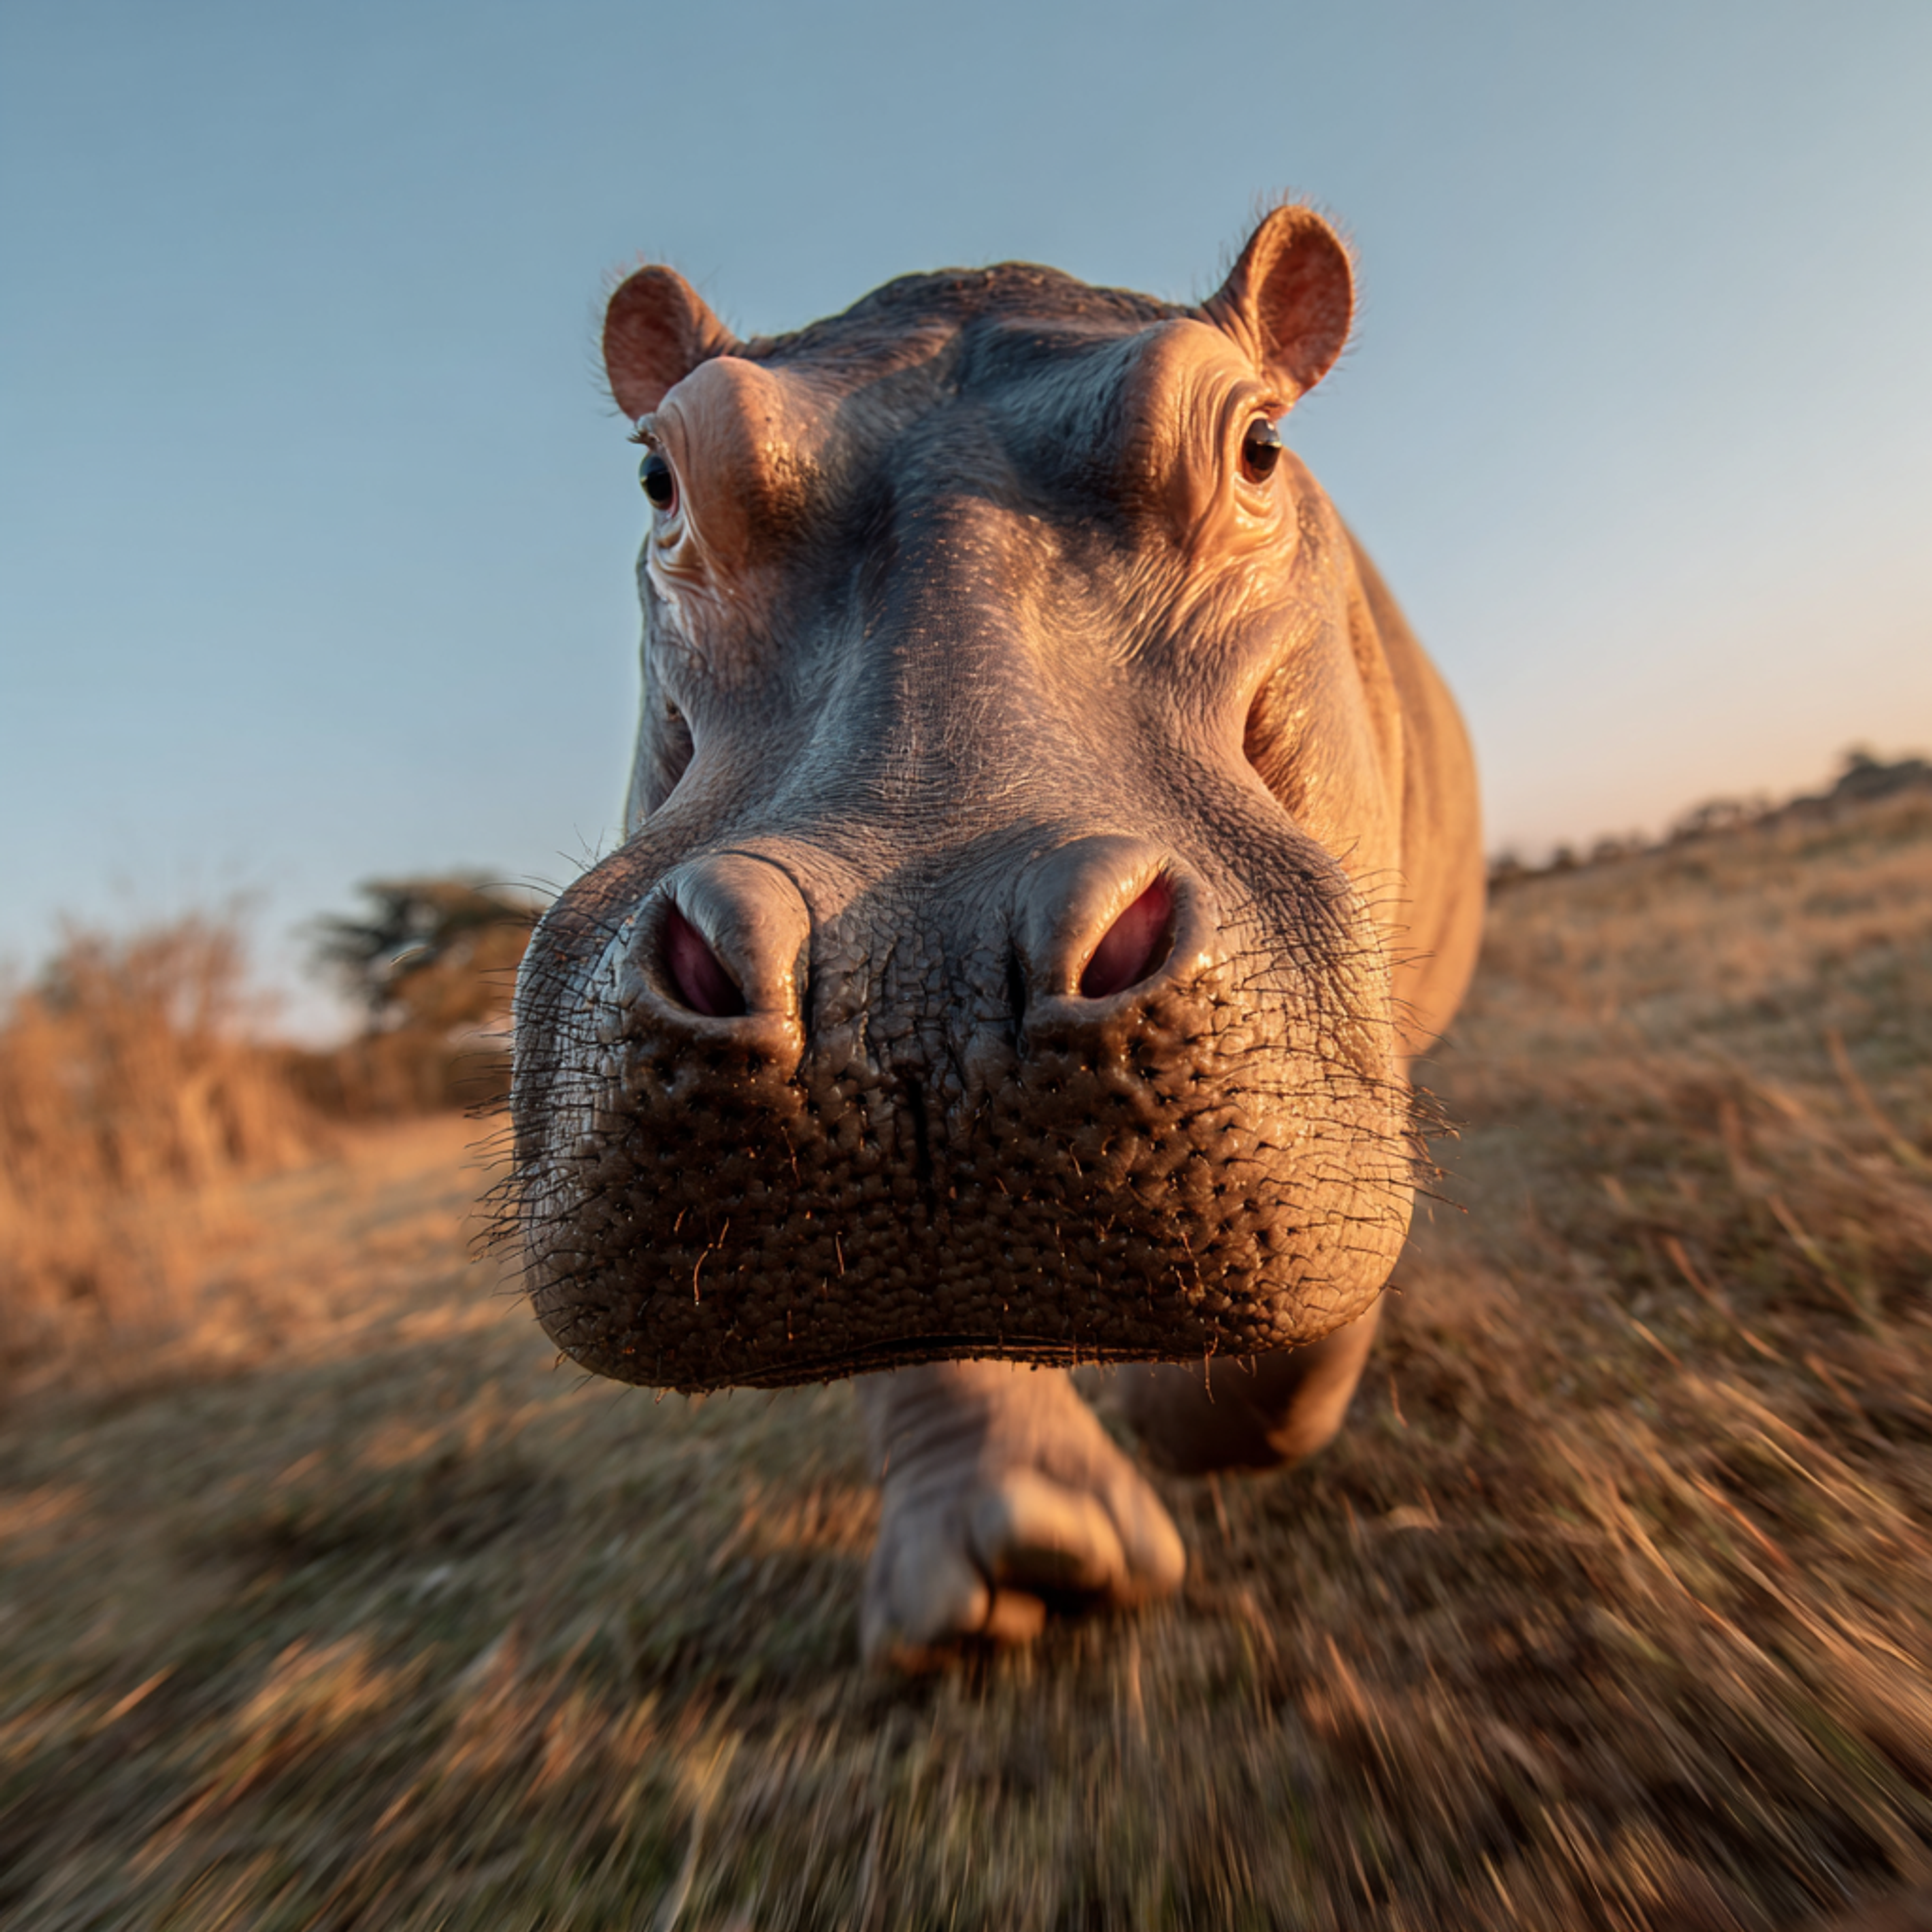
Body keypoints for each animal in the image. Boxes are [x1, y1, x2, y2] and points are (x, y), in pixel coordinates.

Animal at [512, 206, 1484, 1666]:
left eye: (1259, 443)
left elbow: (1321, 1309)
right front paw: (1037, 1556)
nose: (912, 972)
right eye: (656, 480)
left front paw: (1163, 1413)